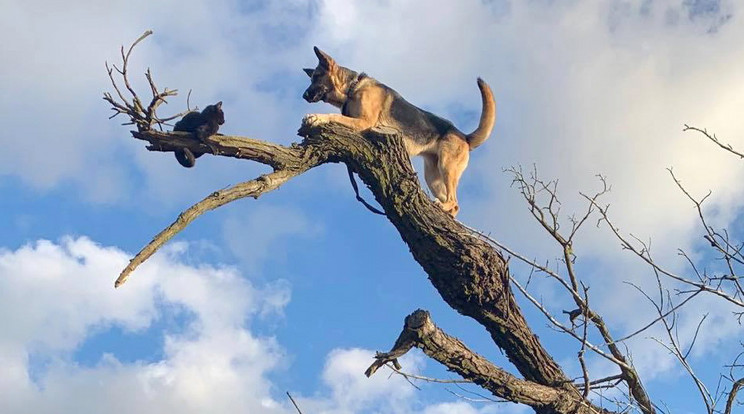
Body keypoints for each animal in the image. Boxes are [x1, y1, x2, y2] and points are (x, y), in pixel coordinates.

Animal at [300, 47, 496, 218]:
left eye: (317, 76)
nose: (304, 96)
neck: (352, 88)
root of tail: (464, 136)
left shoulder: (364, 122)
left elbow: (334, 115)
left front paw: (316, 117)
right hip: (433, 176)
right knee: (453, 205)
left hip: (447, 166)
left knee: (455, 202)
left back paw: (444, 207)